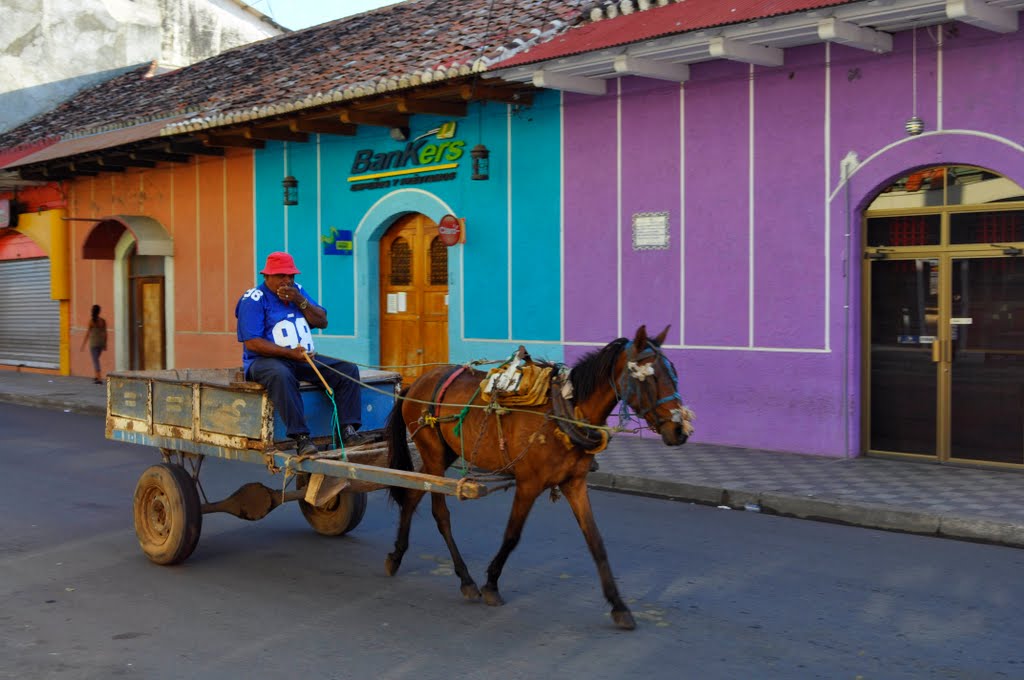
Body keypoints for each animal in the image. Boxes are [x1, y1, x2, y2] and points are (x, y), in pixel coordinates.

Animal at [385, 327, 696, 630]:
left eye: (674, 373)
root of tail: (417, 382)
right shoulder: (528, 484)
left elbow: (596, 542)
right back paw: (466, 579)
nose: (680, 430)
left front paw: (618, 605)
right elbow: (512, 535)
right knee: (440, 514)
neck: (565, 412)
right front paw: (491, 584)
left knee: (411, 494)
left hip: (441, 456)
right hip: (435, 456)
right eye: (649, 377)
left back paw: (396, 556)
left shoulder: (575, 483)